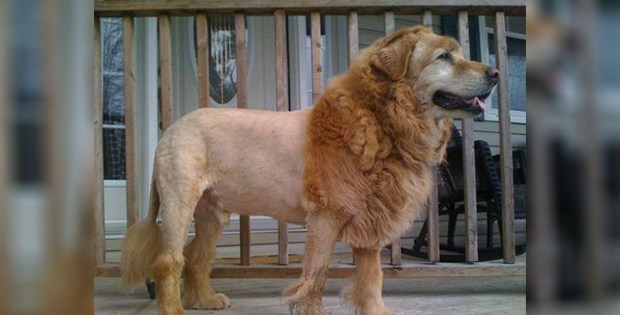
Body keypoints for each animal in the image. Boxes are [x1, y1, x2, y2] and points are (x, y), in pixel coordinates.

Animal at [122, 25, 498, 314]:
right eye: (444, 57)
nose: (495, 73)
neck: (383, 120)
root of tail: (171, 128)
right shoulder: (325, 217)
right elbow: (315, 277)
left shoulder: (370, 218)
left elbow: (372, 279)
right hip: (179, 202)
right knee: (170, 260)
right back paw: (174, 308)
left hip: (212, 213)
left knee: (197, 256)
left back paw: (205, 301)